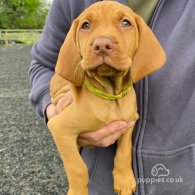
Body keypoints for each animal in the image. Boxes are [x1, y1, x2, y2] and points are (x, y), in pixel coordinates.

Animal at [47, 0, 166, 194]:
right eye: (85, 25)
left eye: (126, 23)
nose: (102, 45)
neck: (111, 96)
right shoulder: (60, 128)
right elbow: (77, 167)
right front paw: (77, 190)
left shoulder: (129, 122)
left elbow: (124, 151)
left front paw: (124, 180)